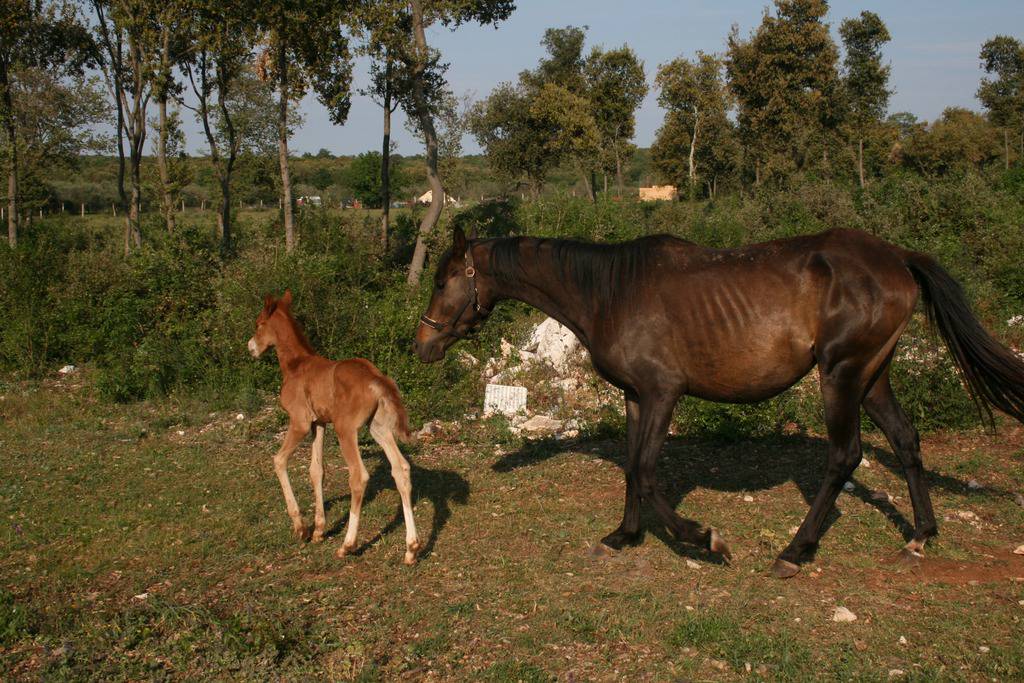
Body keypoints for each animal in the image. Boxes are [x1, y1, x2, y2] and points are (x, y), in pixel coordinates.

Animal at [249, 290, 421, 565]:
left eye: (259, 324)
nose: (251, 348)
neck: (295, 364)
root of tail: (377, 379)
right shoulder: (319, 424)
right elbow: (316, 470)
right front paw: (319, 530)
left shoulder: (299, 422)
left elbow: (279, 460)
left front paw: (301, 528)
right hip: (378, 428)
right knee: (401, 469)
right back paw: (411, 549)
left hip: (346, 429)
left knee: (359, 476)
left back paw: (347, 545)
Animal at [413, 228, 1024, 577]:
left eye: (445, 280)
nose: (422, 345)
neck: (609, 290)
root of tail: (895, 256)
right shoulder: (635, 397)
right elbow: (631, 470)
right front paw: (624, 537)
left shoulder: (663, 393)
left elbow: (647, 472)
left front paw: (705, 540)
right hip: (872, 377)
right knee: (905, 439)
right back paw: (920, 535)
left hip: (842, 376)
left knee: (844, 457)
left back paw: (795, 551)